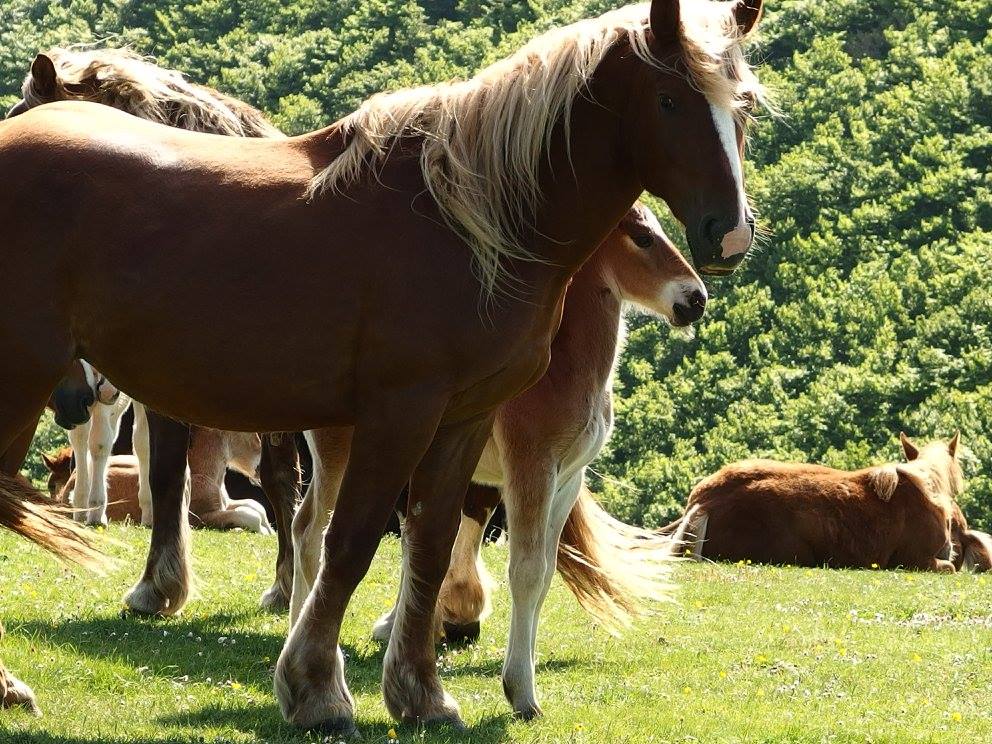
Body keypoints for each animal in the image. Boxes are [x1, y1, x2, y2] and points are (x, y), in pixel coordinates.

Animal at [291, 201, 706, 716]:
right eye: (643, 238)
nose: (695, 298)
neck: (564, 372)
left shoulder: (566, 480)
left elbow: (543, 574)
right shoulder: (530, 469)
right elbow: (525, 571)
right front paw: (521, 692)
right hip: (342, 457)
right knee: (309, 528)